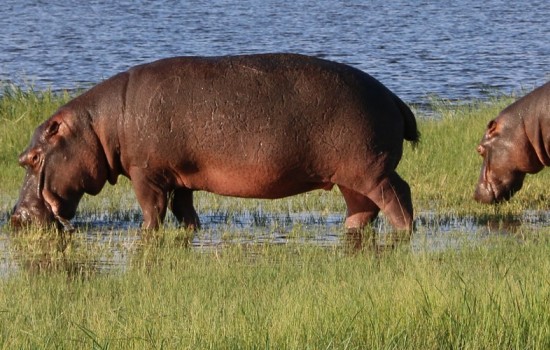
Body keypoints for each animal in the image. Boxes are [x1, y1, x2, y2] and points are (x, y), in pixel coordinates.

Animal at [10, 53, 420, 232]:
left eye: (31, 158)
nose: (16, 216)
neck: (99, 126)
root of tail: (395, 98)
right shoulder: (178, 176)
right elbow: (183, 210)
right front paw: (191, 231)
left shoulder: (146, 173)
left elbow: (151, 211)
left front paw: (146, 236)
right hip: (351, 175)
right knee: (363, 209)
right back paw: (349, 232)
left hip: (370, 168)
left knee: (398, 196)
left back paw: (403, 235)